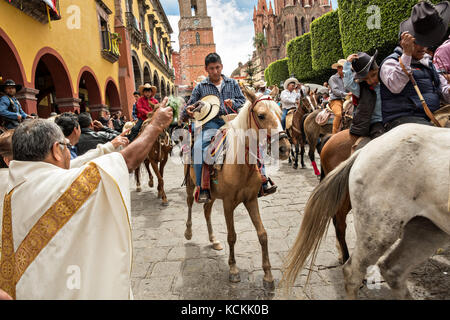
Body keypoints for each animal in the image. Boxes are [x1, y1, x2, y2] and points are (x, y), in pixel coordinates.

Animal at [185, 88, 290, 290]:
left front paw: (268, 276)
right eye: (261, 115)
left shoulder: (251, 200)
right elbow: (232, 236)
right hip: (190, 185)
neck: (240, 164)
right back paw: (188, 232)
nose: (284, 148)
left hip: (211, 195)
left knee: (207, 211)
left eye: (280, 113)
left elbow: (262, 234)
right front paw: (233, 270)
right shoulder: (228, 203)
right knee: (189, 205)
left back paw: (213, 240)